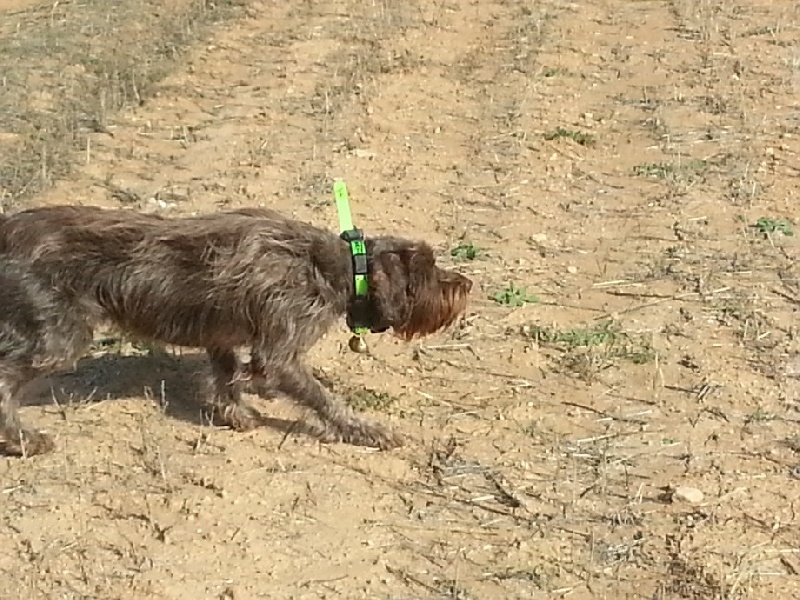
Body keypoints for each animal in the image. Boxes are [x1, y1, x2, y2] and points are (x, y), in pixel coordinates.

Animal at [0, 205, 472, 456]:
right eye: (429, 271)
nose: (466, 285)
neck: (335, 267)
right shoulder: (280, 355)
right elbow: (323, 399)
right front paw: (365, 430)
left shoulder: (222, 334)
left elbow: (227, 374)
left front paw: (234, 412)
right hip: (58, 339)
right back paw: (20, 439)